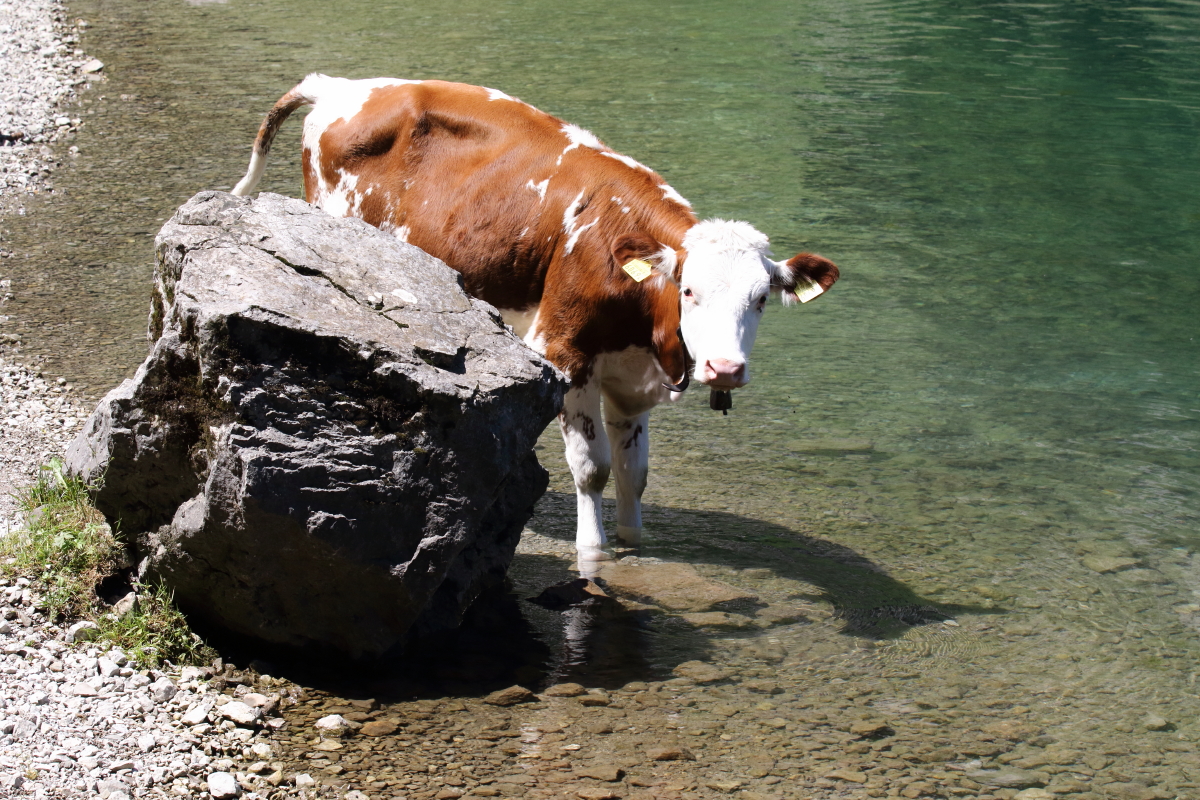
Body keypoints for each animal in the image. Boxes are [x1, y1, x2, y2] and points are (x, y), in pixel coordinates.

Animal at [229, 74, 840, 563]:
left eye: (760, 299)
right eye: (688, 290)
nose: (725, 369)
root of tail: (340, 84)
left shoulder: (630, 379)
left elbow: (634, 473)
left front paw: (632, 542)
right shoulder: (563, 350)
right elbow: (592, 468)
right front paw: (592, 551)